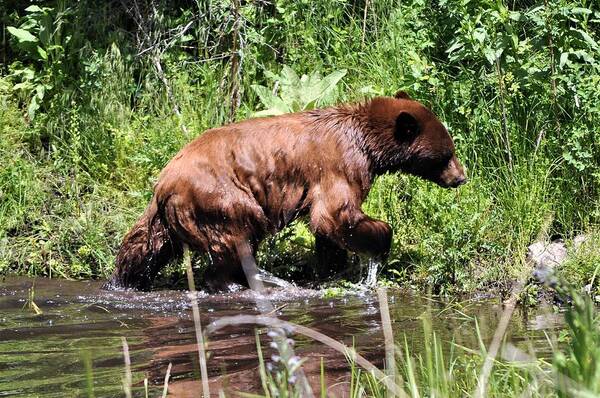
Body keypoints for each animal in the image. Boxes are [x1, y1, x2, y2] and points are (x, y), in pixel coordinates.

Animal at [105, 91, 466, 290]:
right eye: (446, 154)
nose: (461, 177)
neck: (365, 142)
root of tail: (164, 183)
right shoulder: (339, 165)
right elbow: (335, 214)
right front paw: (380, 241)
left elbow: (326, 228)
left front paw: (331, 267)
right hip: (219, 197)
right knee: (237, 236)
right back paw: (234, 283)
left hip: (166, 216)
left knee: (143, 247)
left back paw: (125, 280)